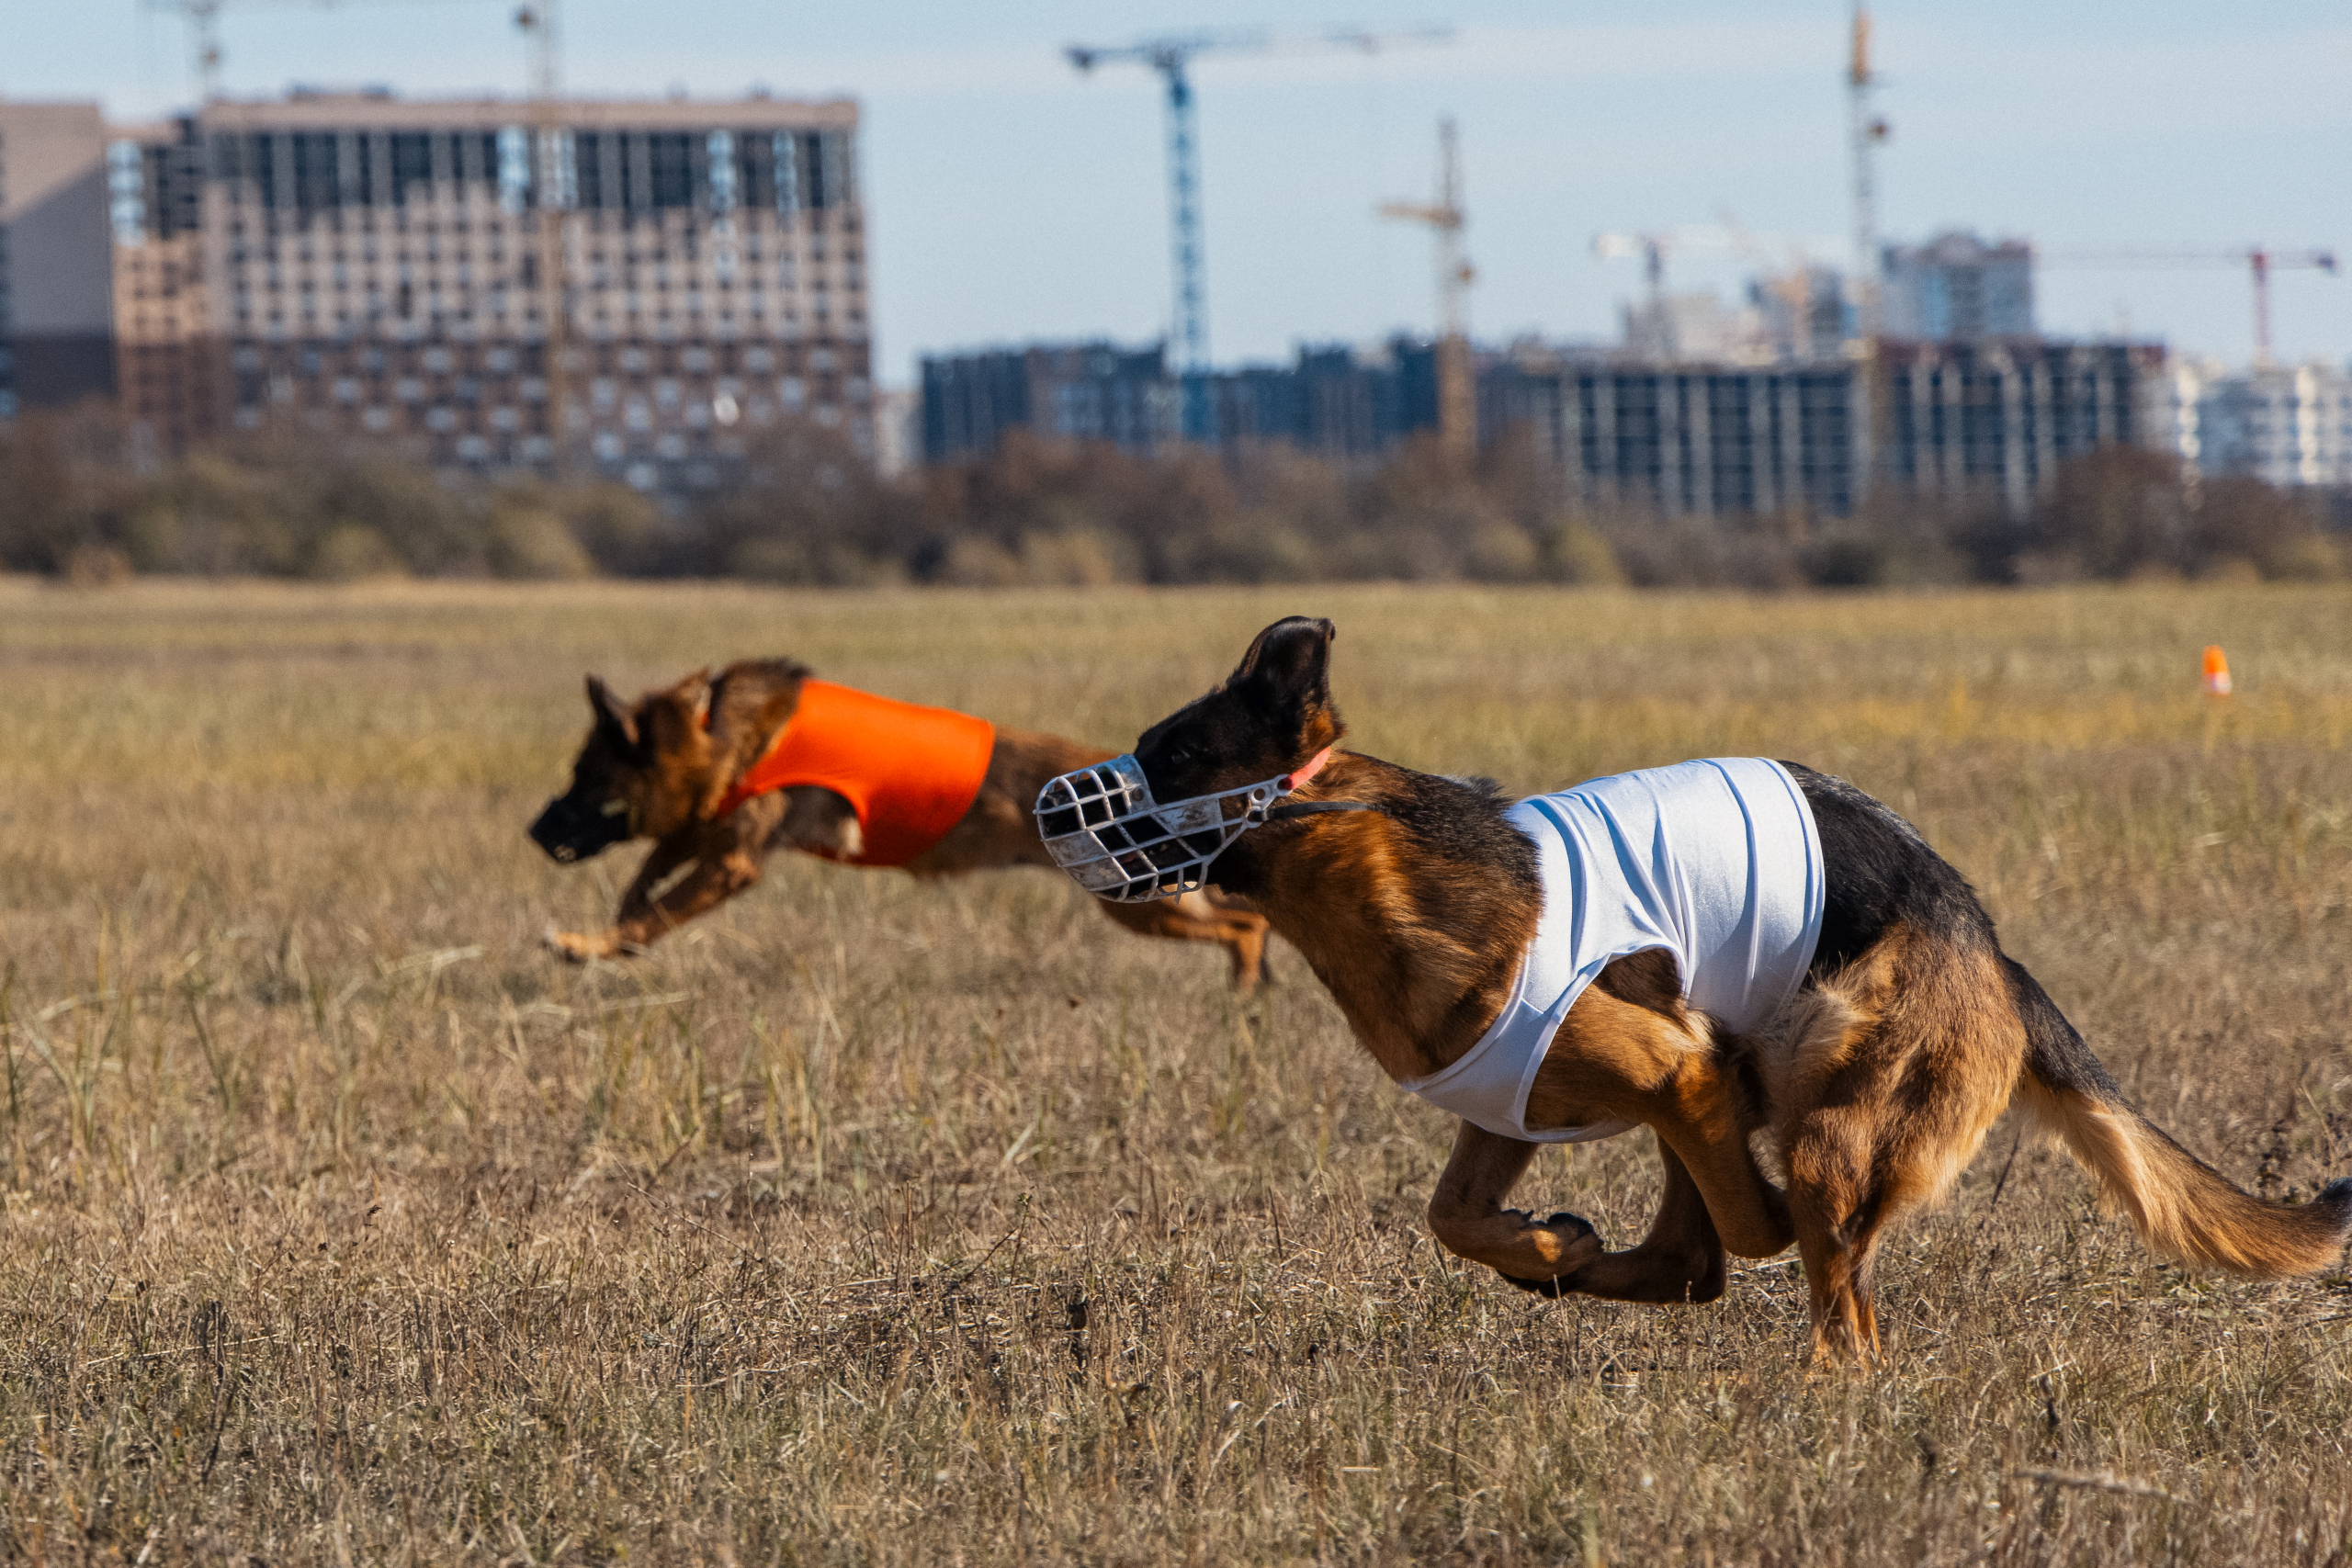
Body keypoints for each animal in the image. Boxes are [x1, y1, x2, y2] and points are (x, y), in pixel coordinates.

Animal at [526, 667, 1279, 991]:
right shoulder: (712, 830)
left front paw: (586, 944)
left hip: (1141, 904)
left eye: (585, 776)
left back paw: (1245, 993)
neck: (718, 731)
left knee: (1245, 926)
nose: (534, 831)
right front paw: (613, 930)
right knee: (1247, 921)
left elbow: (653, 912)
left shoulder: (734, 856)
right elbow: (647, 875)